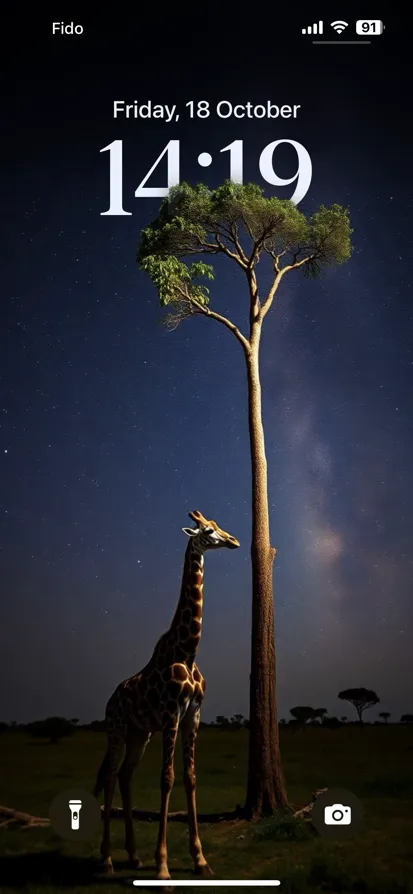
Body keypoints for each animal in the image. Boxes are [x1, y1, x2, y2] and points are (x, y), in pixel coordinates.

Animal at [91, 512, 238, 880]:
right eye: (208, 530)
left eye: (219, 526)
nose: (234, 541)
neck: (187, 651)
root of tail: (110, 699)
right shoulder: (172, 715)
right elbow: (167, 778)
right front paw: (163, 868)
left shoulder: (192, 717)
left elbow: (190, 778)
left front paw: (200, 860)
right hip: (116, 729)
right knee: (111, 777)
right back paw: (107, 859)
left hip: (138, 733)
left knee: (126, 776)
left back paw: (132, 856)